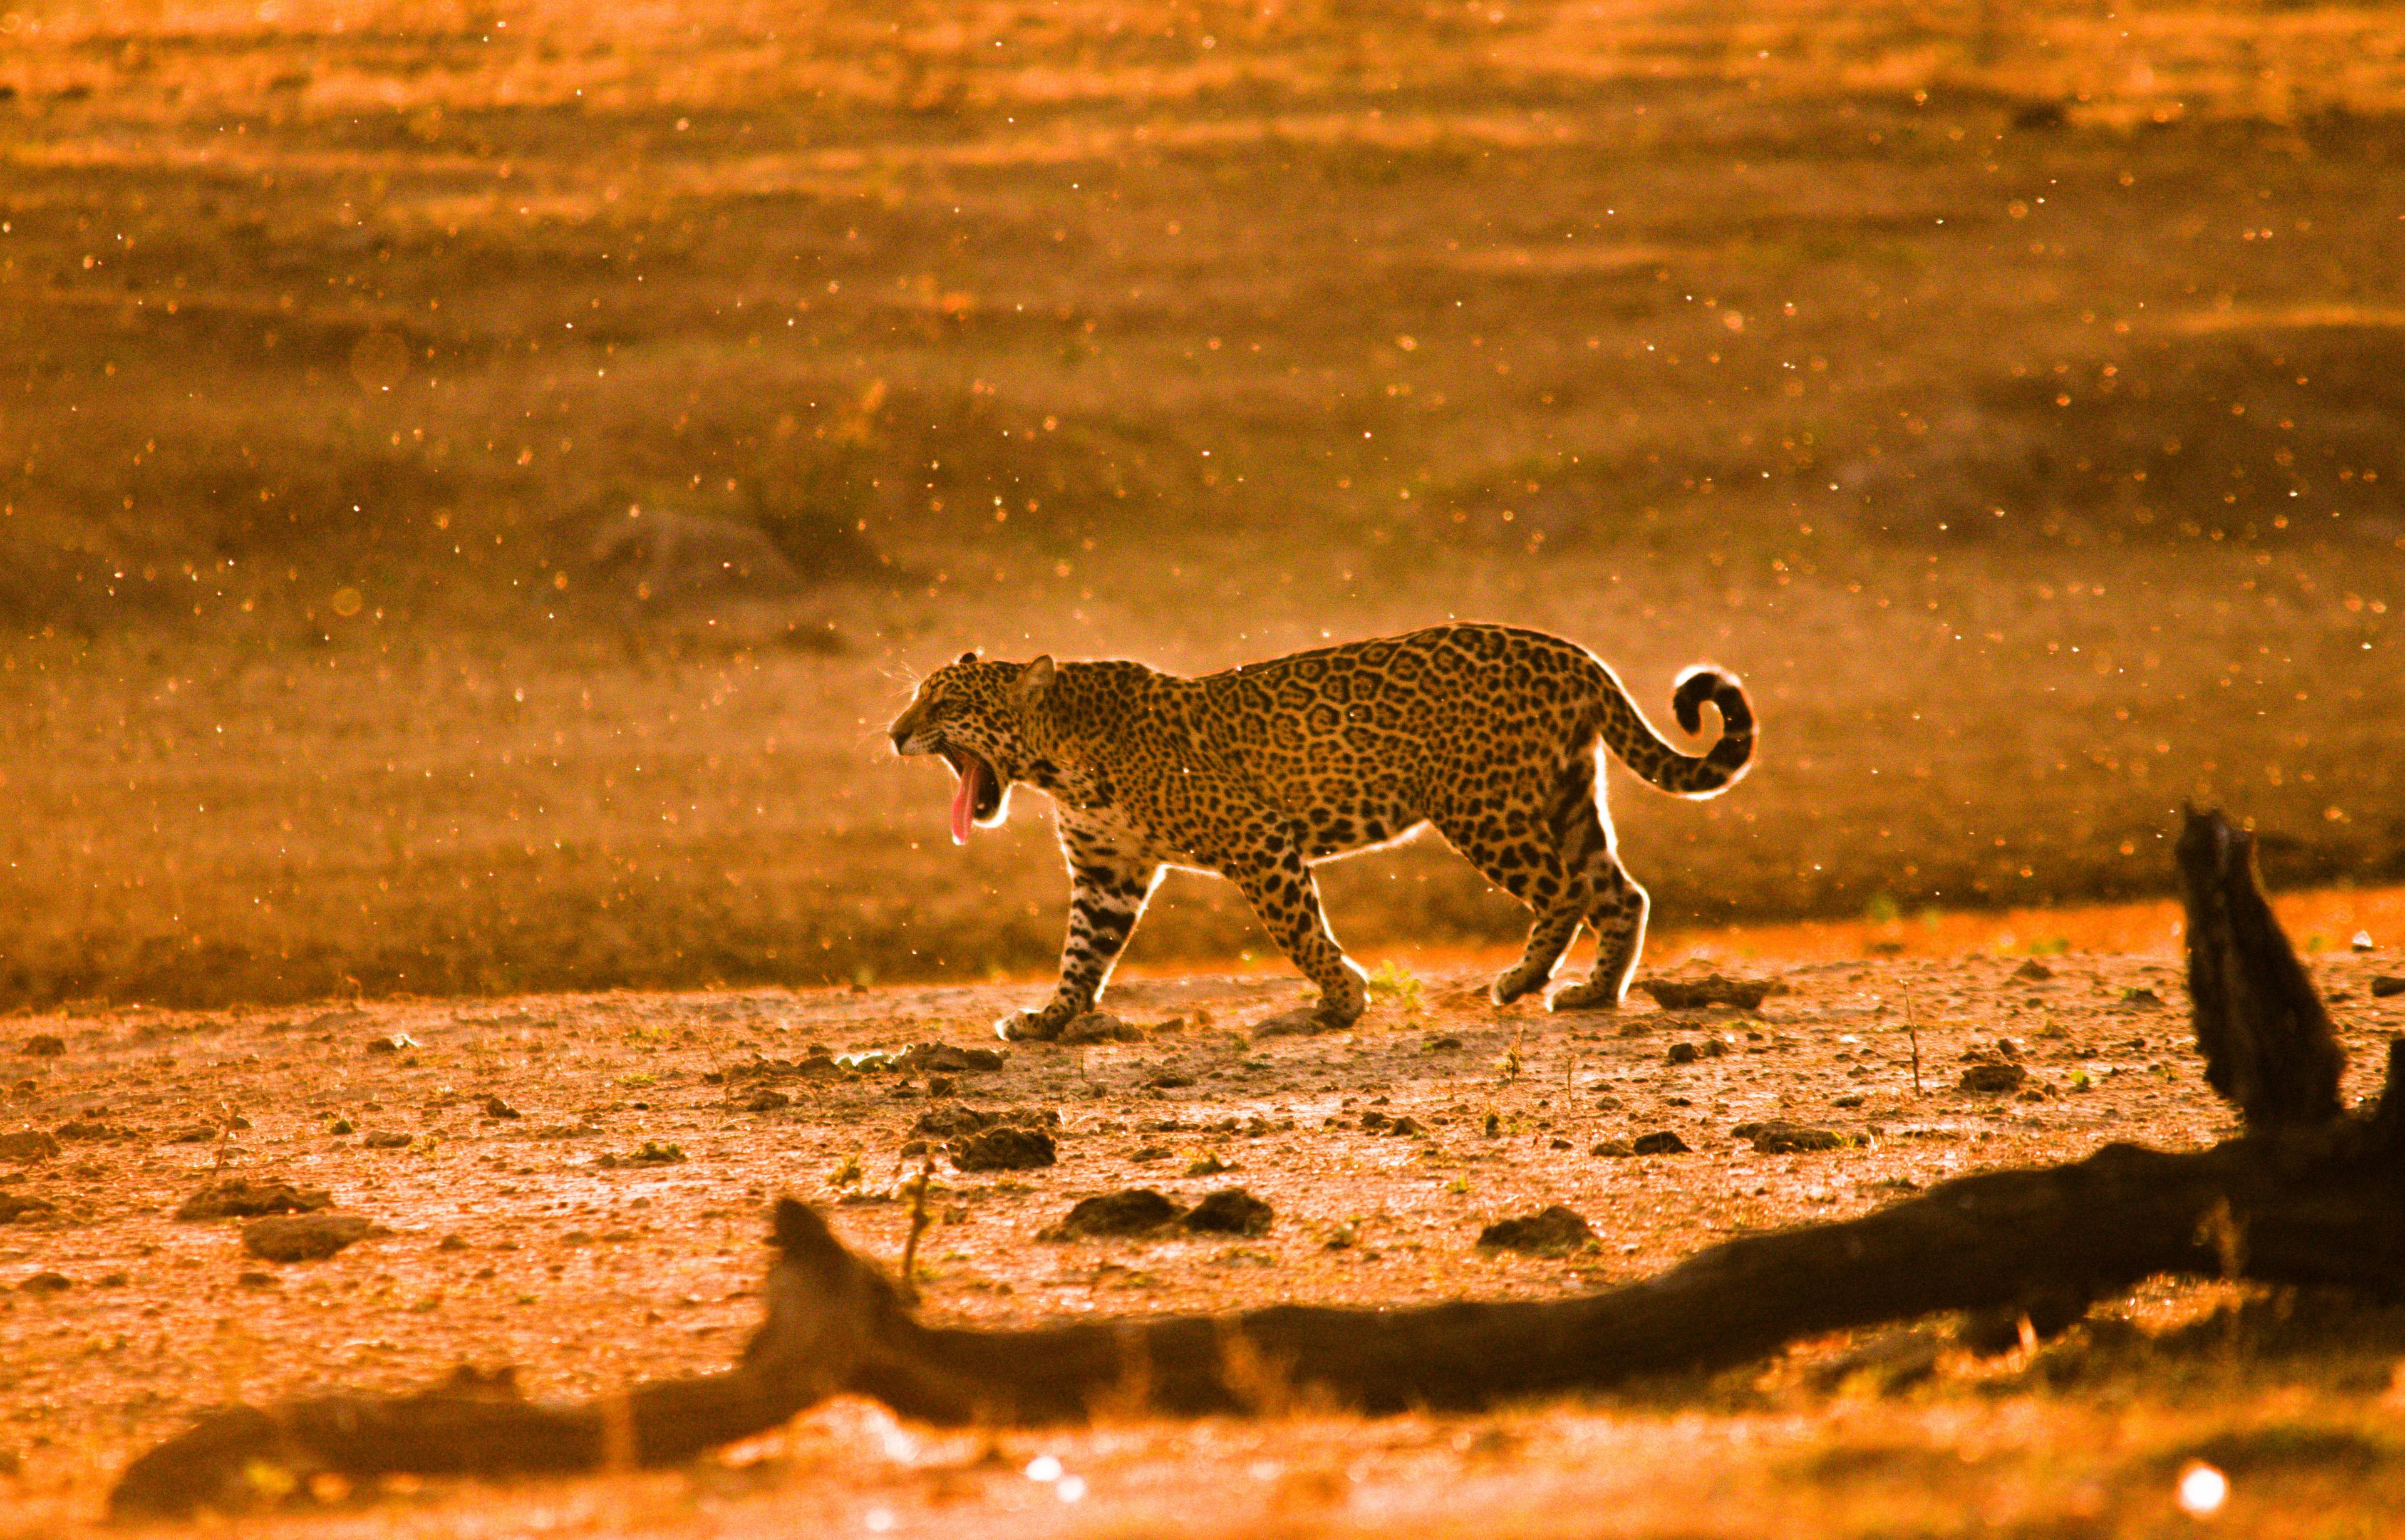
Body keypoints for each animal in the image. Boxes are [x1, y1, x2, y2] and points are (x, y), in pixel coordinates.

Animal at [885, 623, 1754, 1040]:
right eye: (918, 697)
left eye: (945, 702)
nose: (895, 735)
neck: (1058, 758)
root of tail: (1575, 653)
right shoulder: (1109, 874)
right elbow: (1080, 956)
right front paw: (1046, 1021)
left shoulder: (1257, 840)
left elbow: (1299, 932)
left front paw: (1340, 1000)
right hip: (1566, 796)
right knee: (1621, 892)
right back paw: (1593, 991)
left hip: (1483, 805)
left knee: (1567, 892)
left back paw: (1523, 980)